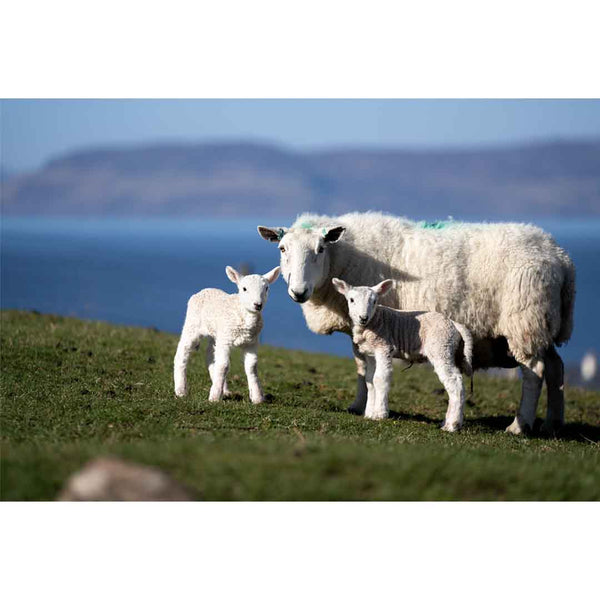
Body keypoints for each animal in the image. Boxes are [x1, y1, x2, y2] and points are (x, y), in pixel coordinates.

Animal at [173, 266, 282, 404]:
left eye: (267, 288)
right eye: (244, 288)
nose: (258, 305)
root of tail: (204, 290)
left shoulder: (251, 342)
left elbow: (251, 367)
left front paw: (257, 397)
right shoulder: (226, 340)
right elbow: (224, 366)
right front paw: (214, 397)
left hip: (216, 334)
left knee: (211, 356)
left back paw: (224, 390)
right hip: (193, 324)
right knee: (182, 352)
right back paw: (181, 390)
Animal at [332, 276, 474, 432]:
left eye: (374, 301)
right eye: (351, 300)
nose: (363, 317)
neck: (374, 322)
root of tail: (455, 324)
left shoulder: (384, 346)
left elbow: (380, 378)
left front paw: (379, 414)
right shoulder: (370, 354)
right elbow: (369, 380)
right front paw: (369, 413)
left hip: (441, 347)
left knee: (455, 382)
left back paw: (452, 425)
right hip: (449, 350)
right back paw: (446, 422)